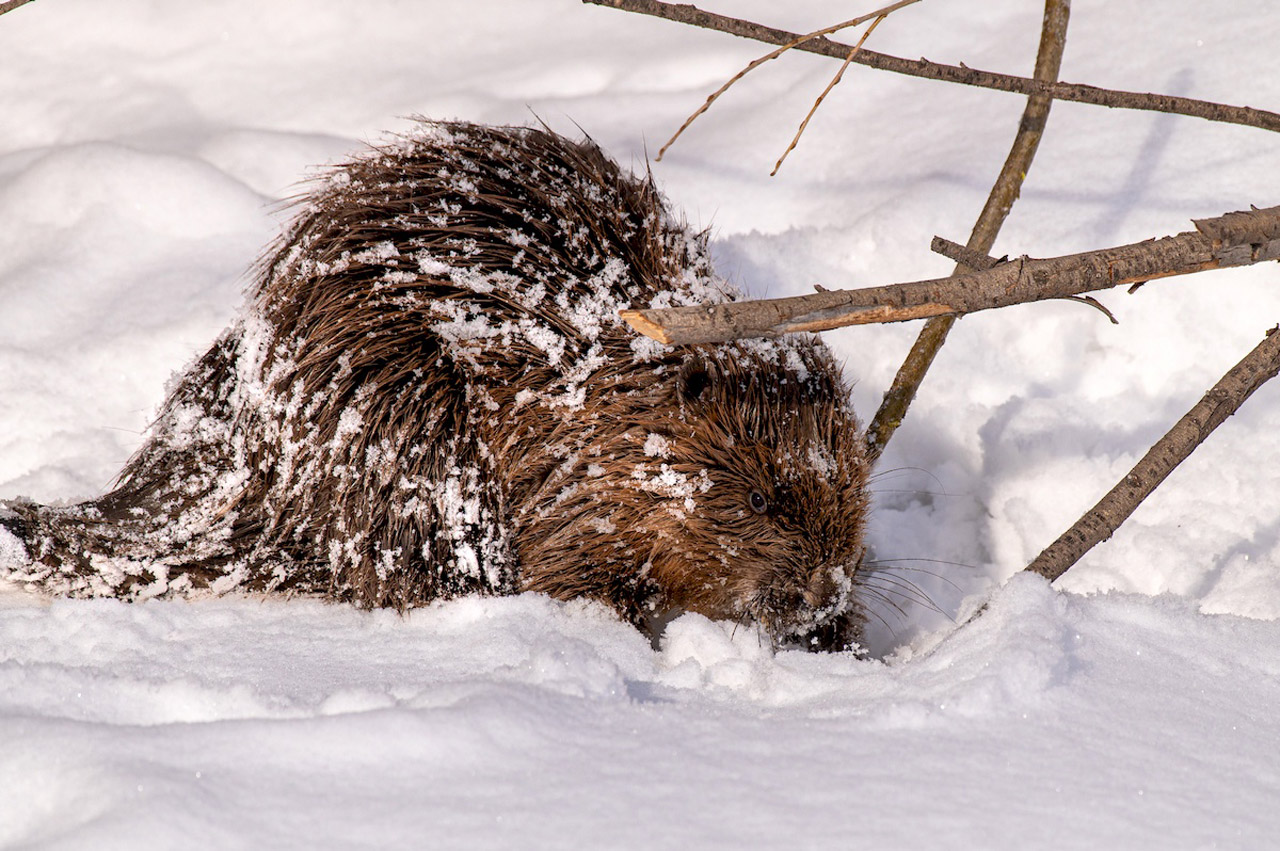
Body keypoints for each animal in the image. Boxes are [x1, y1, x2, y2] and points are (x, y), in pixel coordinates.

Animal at [0, 119, 870, 650]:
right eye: (758, 497)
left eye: (851, 490)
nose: (824, 592)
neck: (614, 388)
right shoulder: (573, 477)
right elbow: (573, 573)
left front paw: (844, 640)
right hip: (402, 423)